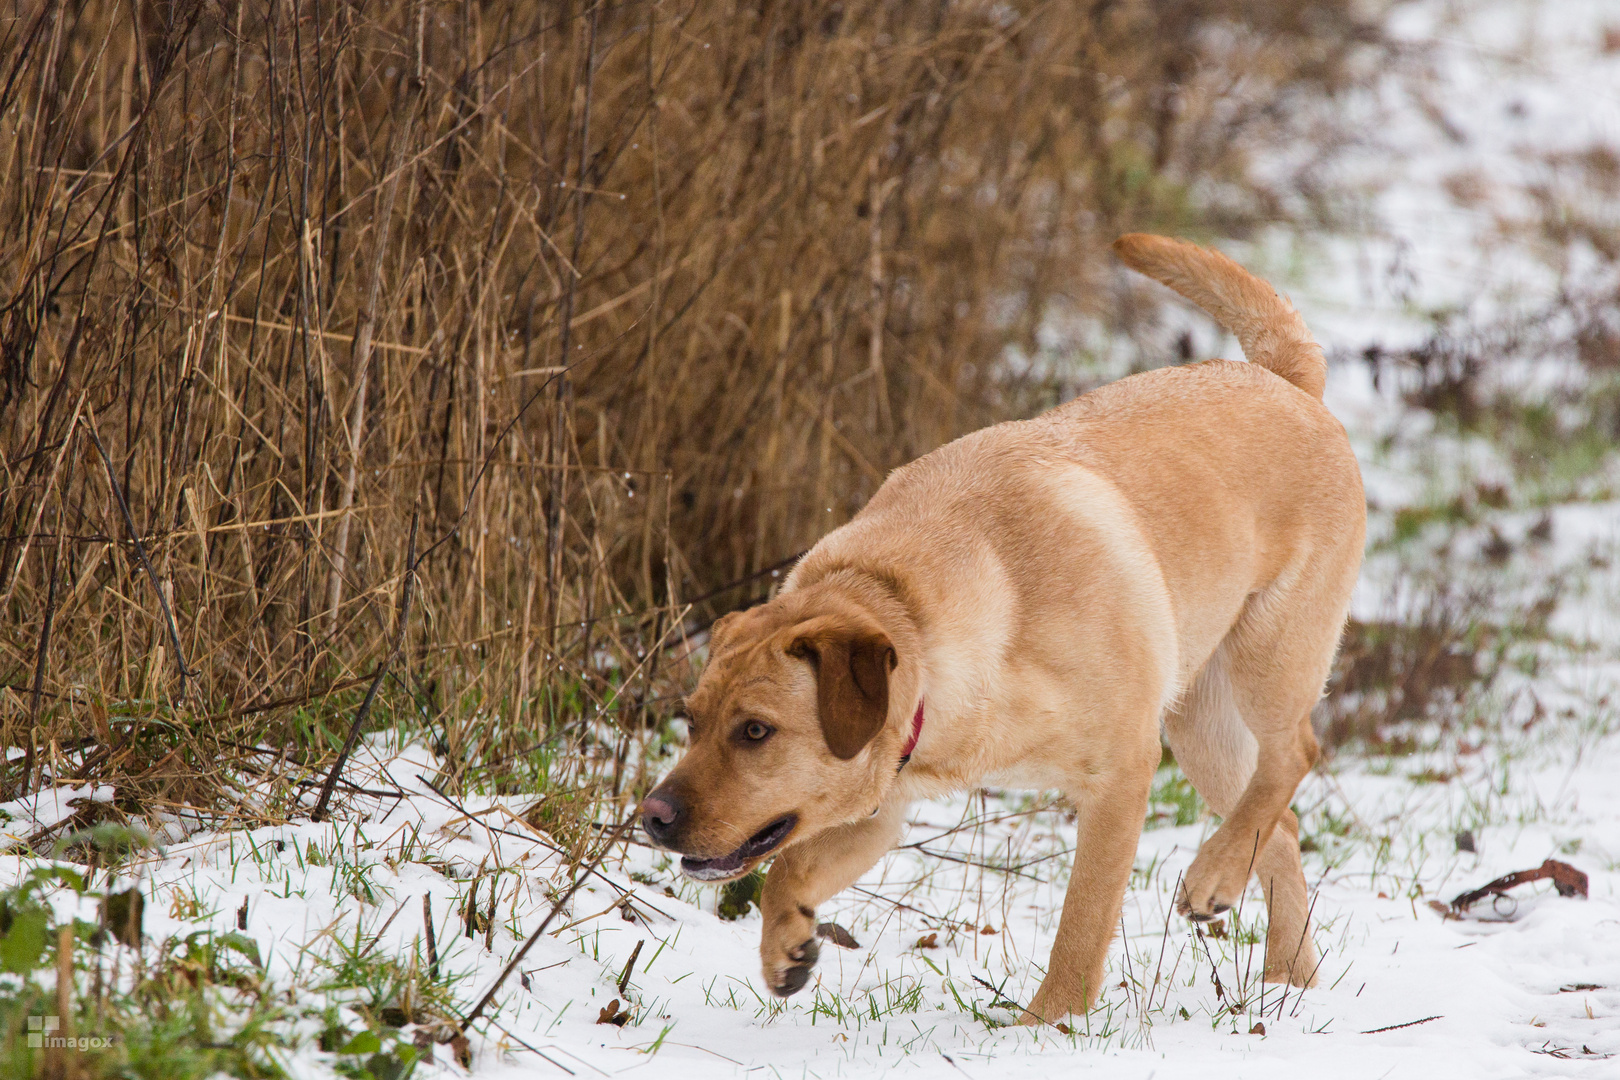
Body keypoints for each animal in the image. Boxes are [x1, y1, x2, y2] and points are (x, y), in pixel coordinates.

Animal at [638, 234, 1360, 1023]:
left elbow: (1082, 923)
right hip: (1200, 721)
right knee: (1282, 827)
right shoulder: (882, 801)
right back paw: (1289, 978)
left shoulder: (1122, 773)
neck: (922, 615)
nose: (651, 817)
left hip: (1268, 663)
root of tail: (1285, 380)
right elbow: (788, 869)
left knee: (1294, 755)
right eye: (692, 721)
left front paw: (1049, 1026)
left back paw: (1216, 879)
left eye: (756, 731)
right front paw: (786, 945)